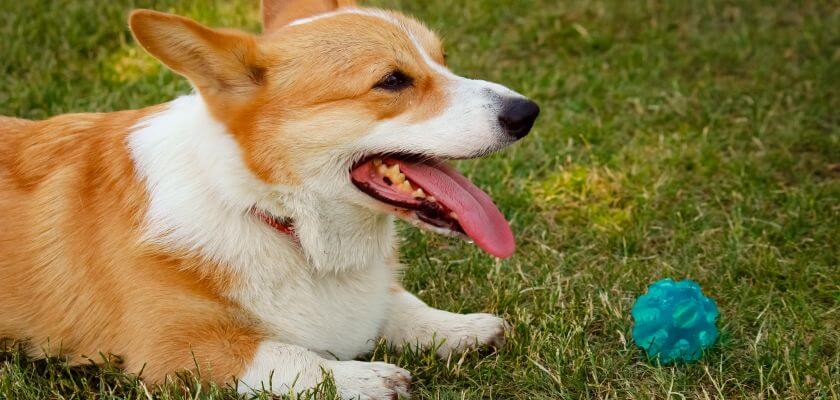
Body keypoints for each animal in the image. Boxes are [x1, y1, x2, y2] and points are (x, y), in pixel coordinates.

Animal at [0, 0, 540, 396]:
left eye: (443, 61)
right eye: (392, 80)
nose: (528, 111)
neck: (272, 216)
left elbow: (396, 304)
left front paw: (459, 329)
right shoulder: (171, 348)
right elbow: (290, 355)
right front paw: (363, 378)